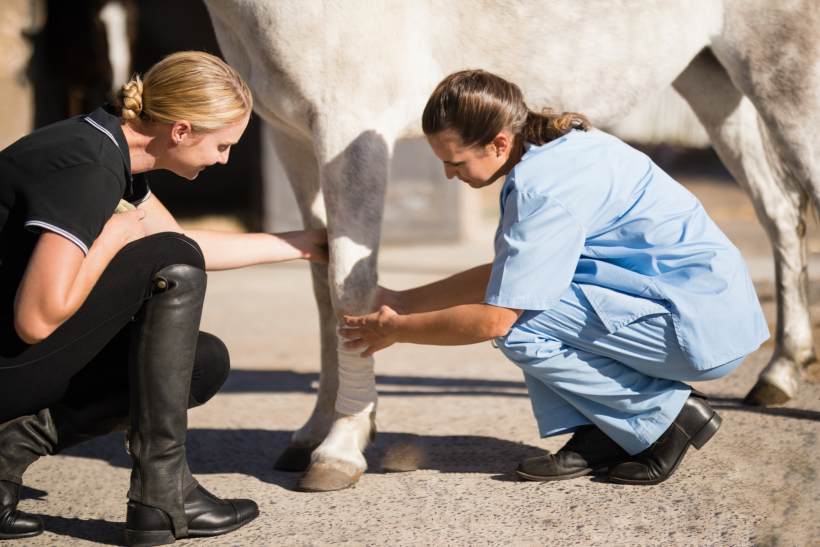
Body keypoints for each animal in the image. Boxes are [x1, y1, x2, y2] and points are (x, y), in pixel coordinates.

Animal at [202, 0, 820, 494]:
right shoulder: (293, 137)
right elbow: (322, 285)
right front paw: (313, 432)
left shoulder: (350, 128)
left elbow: (348, 287)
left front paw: (341, 447)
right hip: (712, 80)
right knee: (779, 212)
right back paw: (780, 371)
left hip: (784, 76)